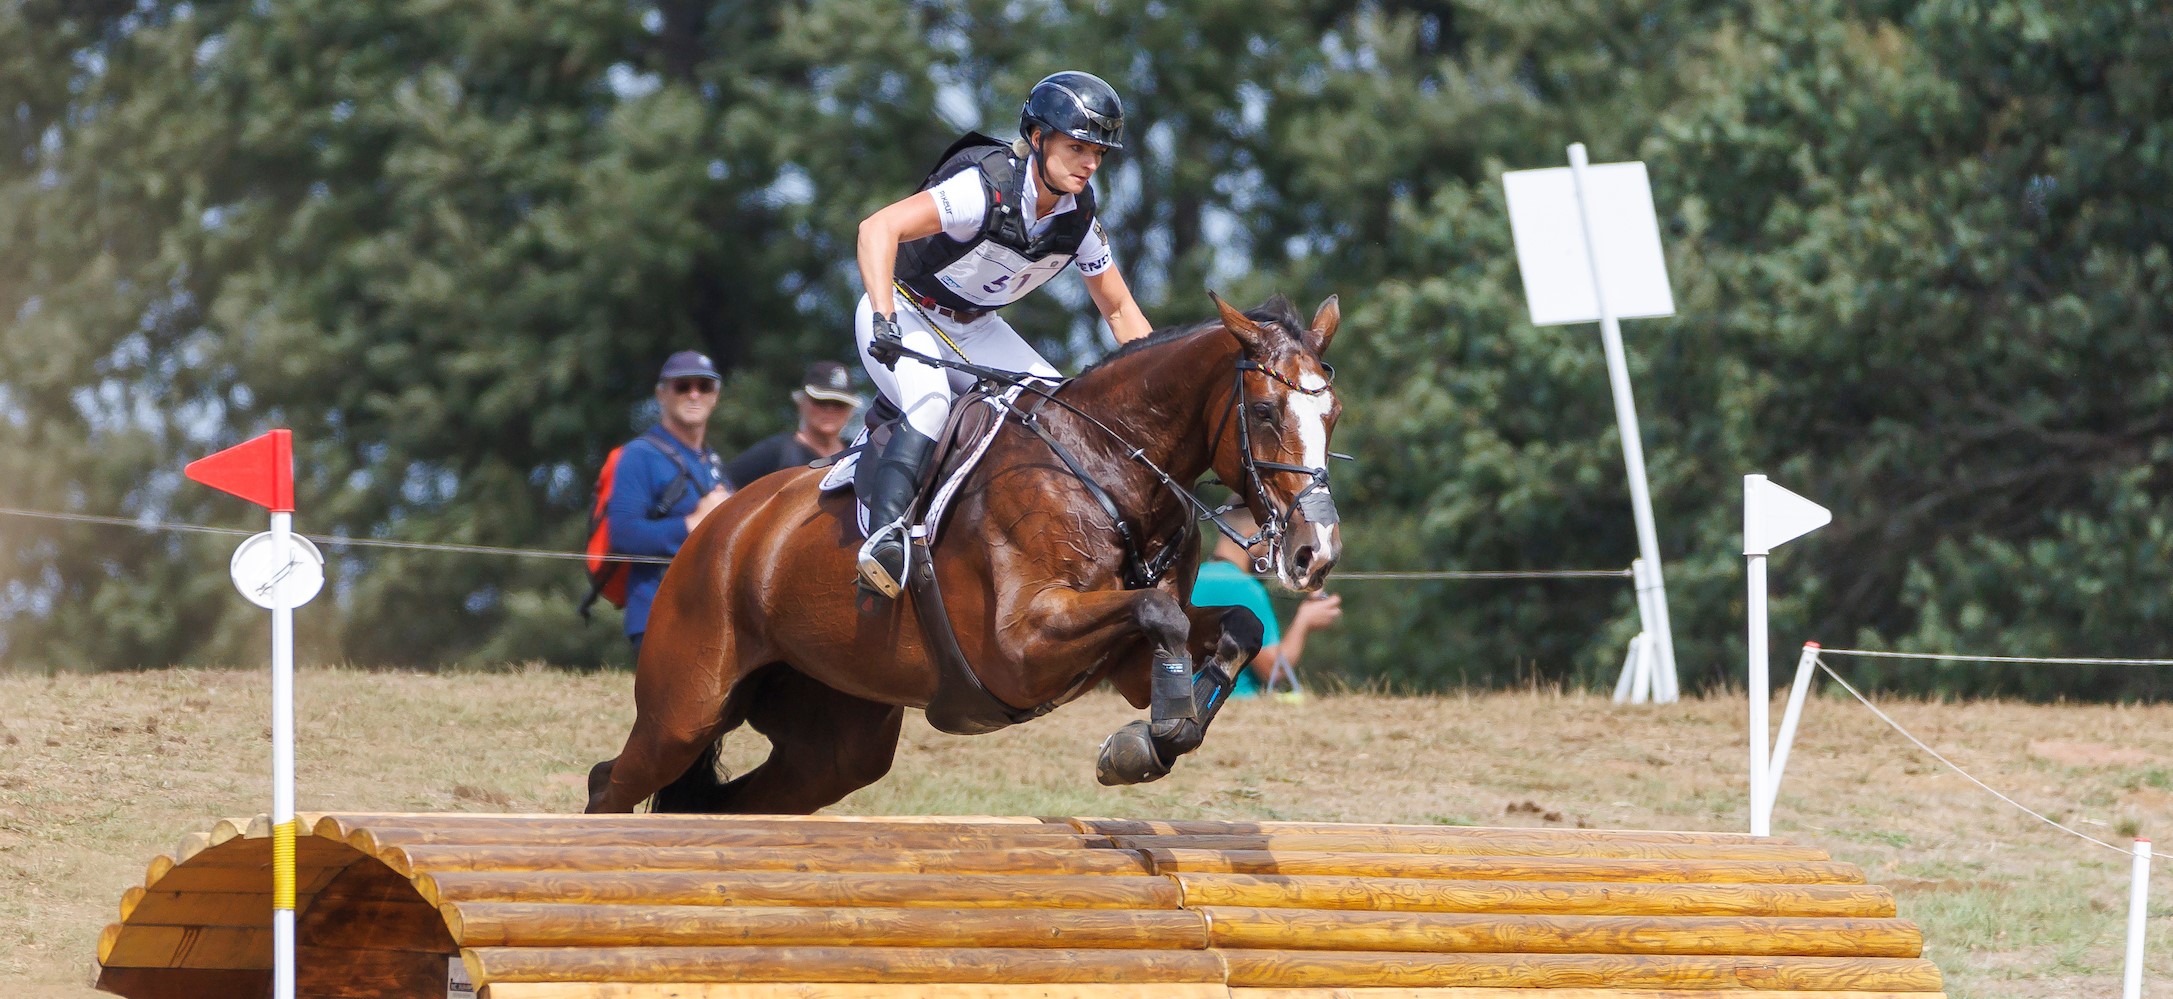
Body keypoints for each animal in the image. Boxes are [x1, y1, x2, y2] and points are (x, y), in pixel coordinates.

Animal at [586, 291, 1347, 812]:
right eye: (1264, 412)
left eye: (1333, 413)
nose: (1315, 552)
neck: (1107, 470)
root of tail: (722, 527)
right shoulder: (1020, 645)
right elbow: (1158, 611)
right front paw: (1144, 742)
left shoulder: (1130, 658)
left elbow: (1228, 626)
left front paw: (1151, 742)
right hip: (686, 704)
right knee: (612, 783)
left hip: (835, 745)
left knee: (722, 802)